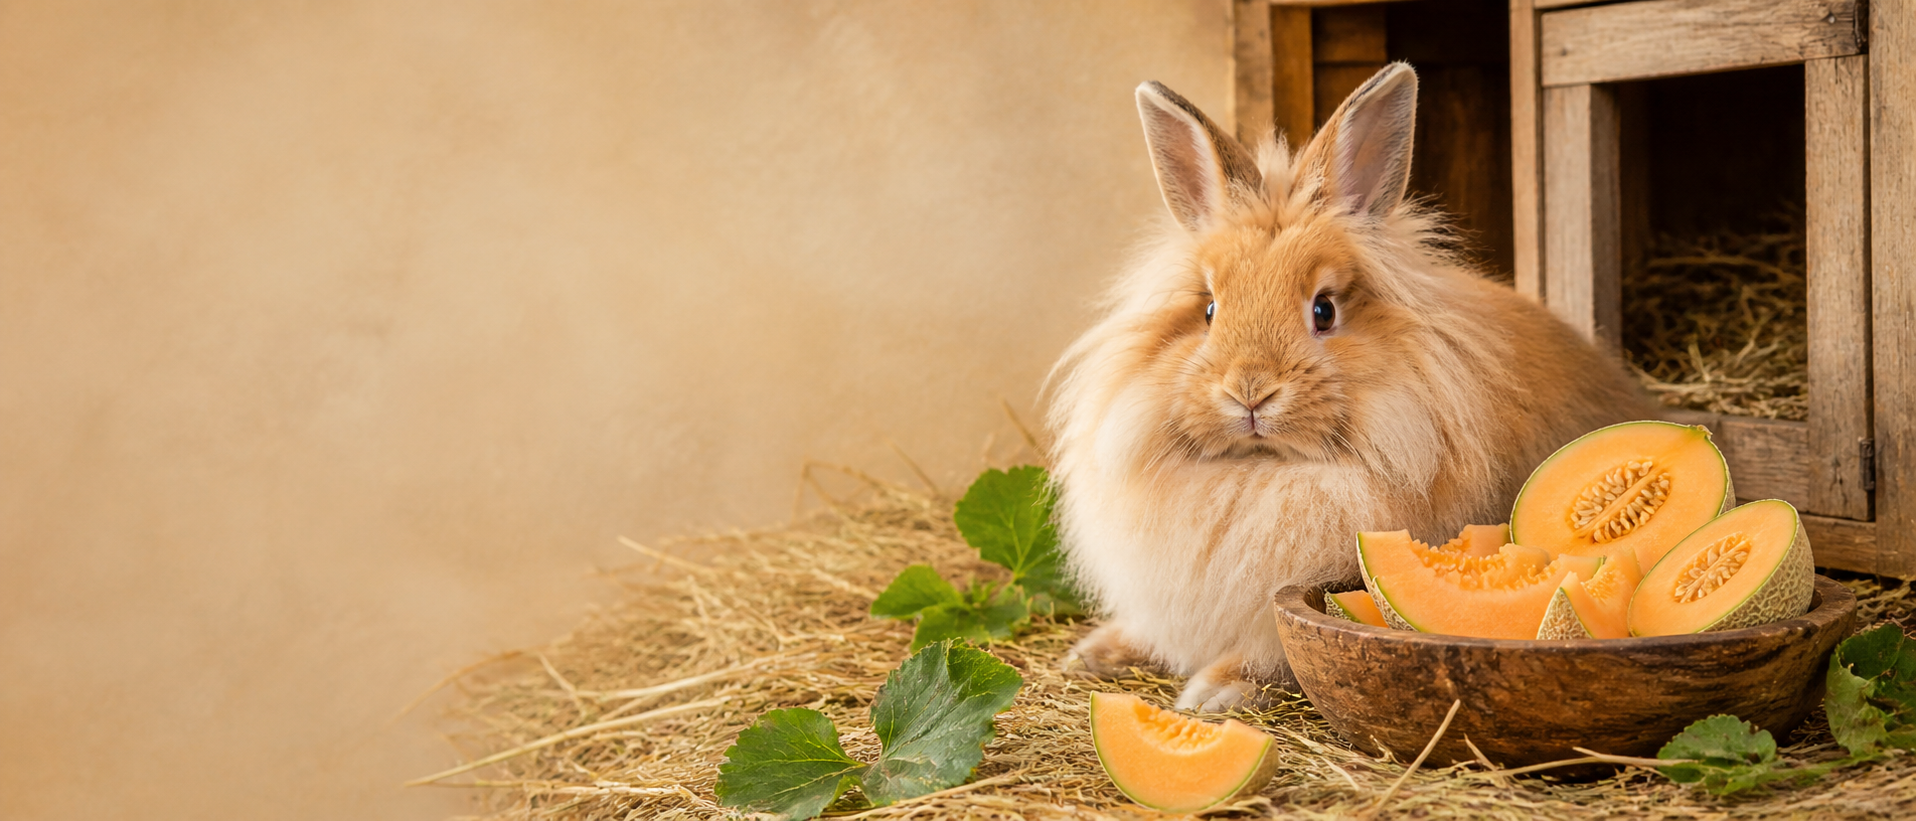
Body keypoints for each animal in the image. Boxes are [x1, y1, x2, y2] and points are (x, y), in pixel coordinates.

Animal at [1046, 63, 1652, 712]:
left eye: (1324, 310)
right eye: (1208, 309)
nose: (1250, 391)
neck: (1262, 472)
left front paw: (1212, 693)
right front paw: (1090, 654)